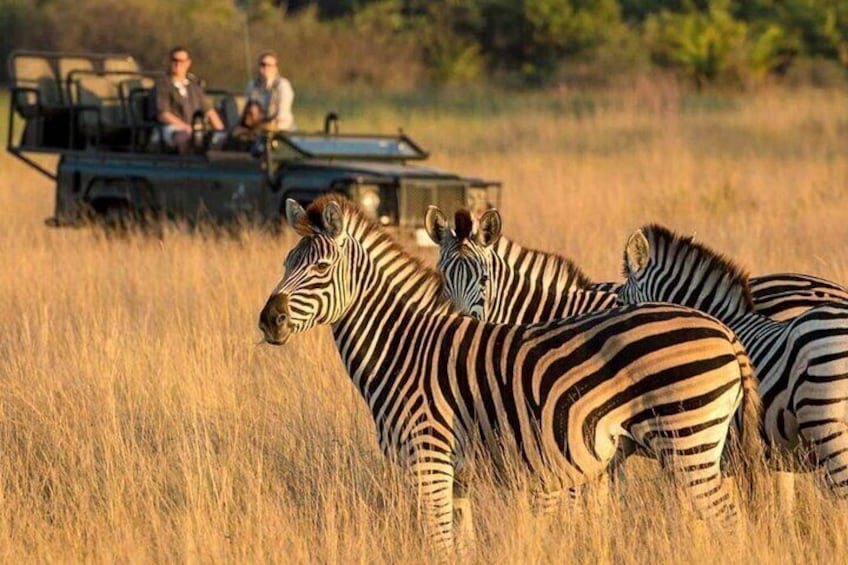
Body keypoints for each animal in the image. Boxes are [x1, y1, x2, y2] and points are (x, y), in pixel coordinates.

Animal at [256, 196, 760, 552]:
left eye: (321, 268)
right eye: (285, 264)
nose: (268, 320)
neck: (404, 347)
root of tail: (724, 331)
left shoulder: (428, 459)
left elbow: (437, 546)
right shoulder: (457, 475)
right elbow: (458, 547)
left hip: (688, 441)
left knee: (731, 523)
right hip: (697, 446)